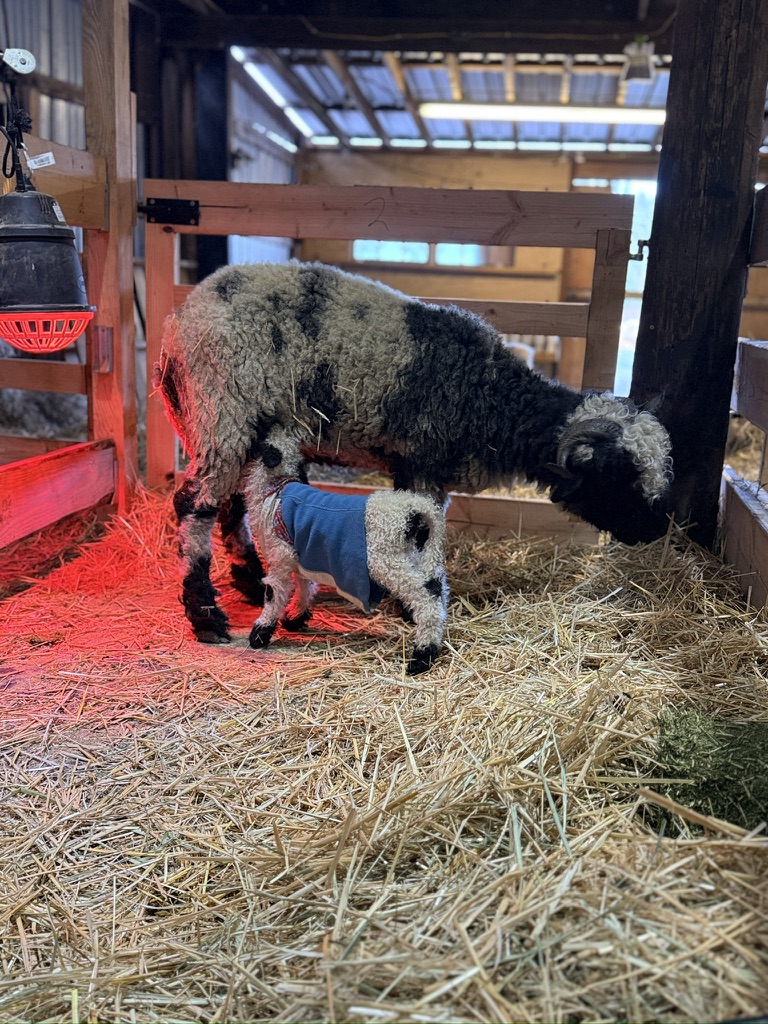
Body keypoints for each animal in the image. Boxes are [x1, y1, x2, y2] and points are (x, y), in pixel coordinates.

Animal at [154, 259, 673, 646]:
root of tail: (178, 322)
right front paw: (414, 605)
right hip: (222, 410)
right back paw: (206, 615)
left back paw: (249, 580)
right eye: (618, 475)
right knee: (195, 504)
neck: (491, 399)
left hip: (228, 427)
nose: (655, 531)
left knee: (232, 503)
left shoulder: (412, 466)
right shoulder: (423, 462)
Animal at [239, 432, 449, 674]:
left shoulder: (280, 555)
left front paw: (260, 632)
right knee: (436, 586)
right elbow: (304, 585)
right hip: (419, 555)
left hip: (387, 560)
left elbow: (274, 594)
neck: (274, 491)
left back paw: (422, 656)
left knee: (426, 597)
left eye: (258, 439)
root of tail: (417, 509)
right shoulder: (302, 554)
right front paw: (295, 618)